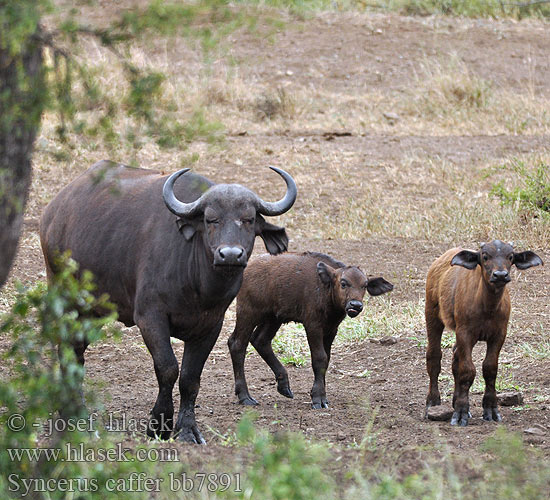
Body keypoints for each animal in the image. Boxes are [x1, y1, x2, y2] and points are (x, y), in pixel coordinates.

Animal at [40, 159, 298, 442]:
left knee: (76, 350)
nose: (230, 255)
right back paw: (76, 414)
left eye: (248, 220)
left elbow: (190, 378)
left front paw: (186, 429)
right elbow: (168, 368)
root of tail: (54, 212)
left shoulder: (211, 326)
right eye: (211, 219)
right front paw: (159, 424)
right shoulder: (150, 318)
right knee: (68, 349)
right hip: (65, 296)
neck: (198, 287)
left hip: (94, 310)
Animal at [226, 252, 394, 408]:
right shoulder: (313, 326)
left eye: (364, 285)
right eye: (343, 283)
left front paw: (321, 396)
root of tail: (247, 268)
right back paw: (245, 397)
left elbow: (327, 359)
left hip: (273, 318)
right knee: (237, 344)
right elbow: (319, 358)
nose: (355, 305)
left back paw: (284, 386)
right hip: (248, 313)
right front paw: (318, 398)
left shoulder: (331, 330)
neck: (326, 289)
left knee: (260, 340)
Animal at [426, 241, 544, 426]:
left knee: (455, 357)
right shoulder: (465, 333)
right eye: (485, 256)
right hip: (432, 314)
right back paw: (432, 402)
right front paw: (460, 413)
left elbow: (490, 369)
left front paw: (490, 409)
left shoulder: (499, 335)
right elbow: (467, 370)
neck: (487, 307)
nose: (500, 275)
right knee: (434, 356)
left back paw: (455, 401)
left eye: (510, 256)